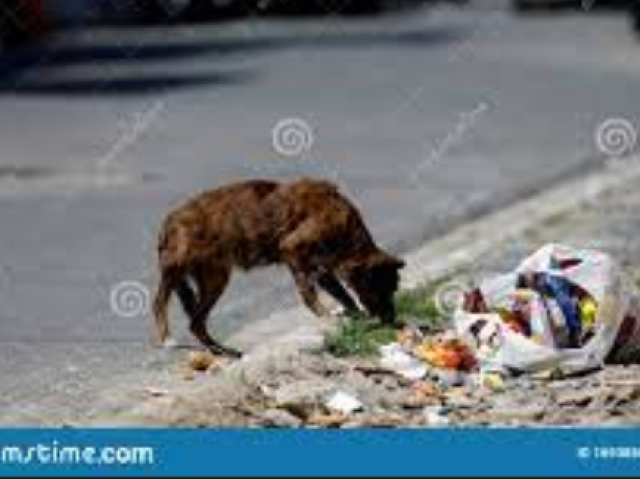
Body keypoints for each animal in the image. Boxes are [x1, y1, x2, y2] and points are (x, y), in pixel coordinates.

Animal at [152, 178, 404, 358]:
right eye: (386, 289)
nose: (393, 321)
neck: (346, 227)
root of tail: (169, 220)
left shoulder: (321, 268)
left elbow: (344, 295)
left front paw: (354, 316)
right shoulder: (293, 249)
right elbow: (309, 294)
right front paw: (327, 318)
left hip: (214, 278)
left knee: (196, 322)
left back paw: (220, 350)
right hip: (178, 269)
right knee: (160, 303)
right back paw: (167, 338)